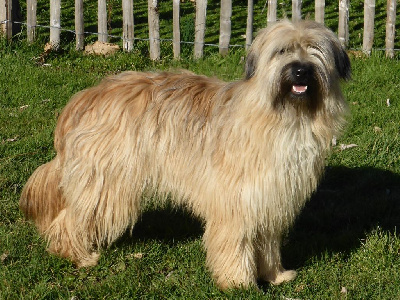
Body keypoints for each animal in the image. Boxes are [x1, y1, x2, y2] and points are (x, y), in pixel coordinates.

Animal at [19, 19, 350, 290]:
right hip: (107, 182)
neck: (285, 116)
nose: (300, 70)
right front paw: (238, 283)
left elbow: (267, 243)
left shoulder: (269, 198)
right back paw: (77, 255)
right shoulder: (235, 199)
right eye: (282, 51)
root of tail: (83, 98)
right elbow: (234, 241)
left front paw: (275, 275)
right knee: (71, 217)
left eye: (315, 50)